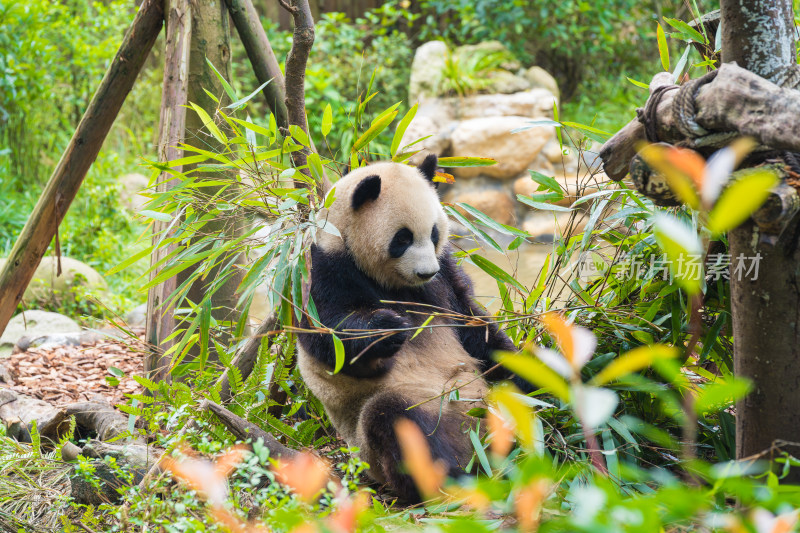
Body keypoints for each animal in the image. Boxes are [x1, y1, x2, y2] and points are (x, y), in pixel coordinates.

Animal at [294, 155, 524, 502]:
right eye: (402, 238)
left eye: (434, 233)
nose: (426, 271)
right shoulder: (323, 269)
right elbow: (330, 338)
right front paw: (389, 328)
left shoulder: (445, 279)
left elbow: (475, 326)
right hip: (408, 415)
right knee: (394, 420)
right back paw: (451, 478)